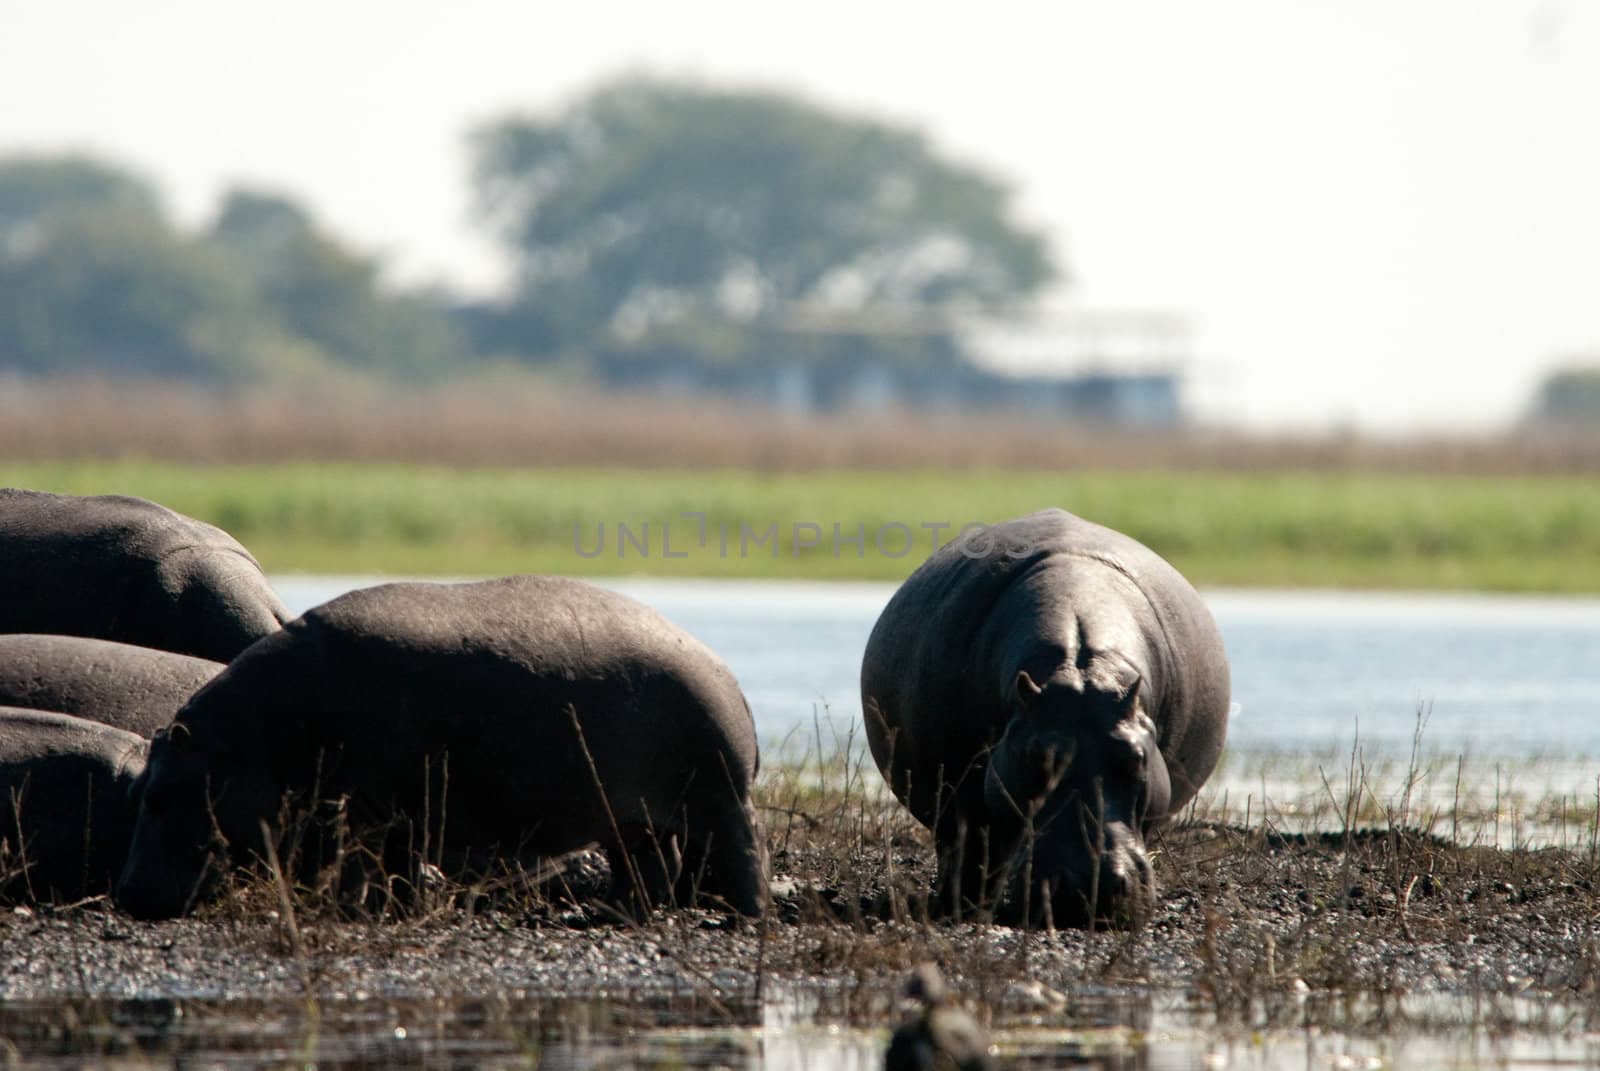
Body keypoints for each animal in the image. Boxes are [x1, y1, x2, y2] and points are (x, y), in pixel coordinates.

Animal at [112, 576, 768, 922]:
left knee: (740, 857)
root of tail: (727, 673)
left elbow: (363, 867)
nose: (125, 893)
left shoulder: (368, 812)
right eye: (139, 791)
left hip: (721, 800)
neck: (249, 738)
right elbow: (394, 870)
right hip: (632, 819)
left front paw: (358, 910)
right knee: (653, 870)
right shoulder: (396, 816)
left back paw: (744, 916)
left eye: (162, 796)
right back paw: (612, 914)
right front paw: (392, 908)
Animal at [864, 509, 1222, 928]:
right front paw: (961, 909)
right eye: (1035, 758)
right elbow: (972, 850)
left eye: (1135, 758)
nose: (1088, 886)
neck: (1080, 666)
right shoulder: (960, 799)